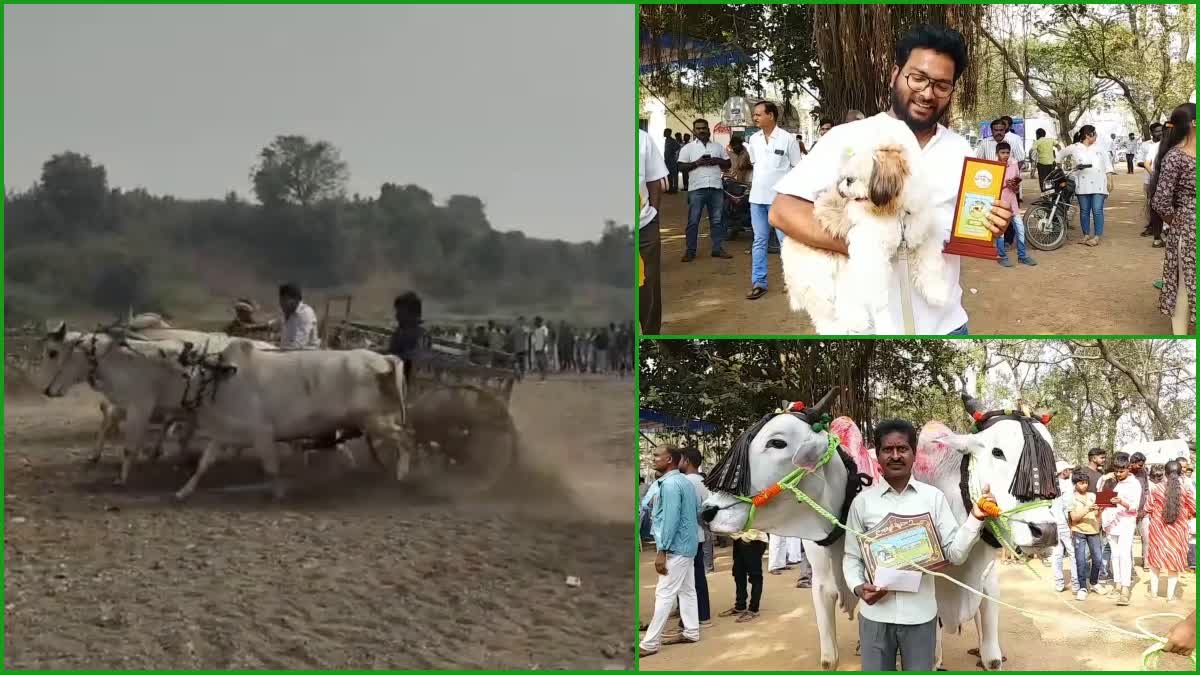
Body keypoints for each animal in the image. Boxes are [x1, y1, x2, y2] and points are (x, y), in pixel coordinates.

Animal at [700, 386, 1060, 662]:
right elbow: (829, 657)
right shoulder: (822, 585)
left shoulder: (982, 582)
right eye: (998, 451)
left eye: (776, 442)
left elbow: (989, 656)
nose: (1045, 531)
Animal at [782, 120, 950, 333]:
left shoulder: (922, 234)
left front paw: (937, 292)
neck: (894, 212)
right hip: (819, 282)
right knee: (826, 315)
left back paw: (857, 321)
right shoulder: (871, 252)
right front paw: (885, 321)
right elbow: (878, 297)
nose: (846, 182)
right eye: (849, 177)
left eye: (856, 177)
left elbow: (930, 265)